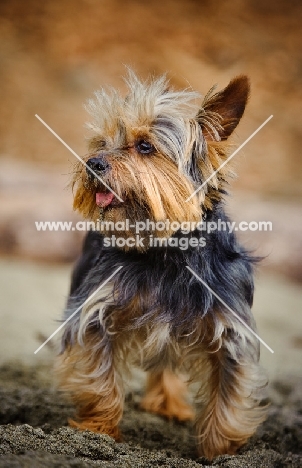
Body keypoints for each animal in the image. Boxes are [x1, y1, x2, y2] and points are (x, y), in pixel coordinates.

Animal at [56, 72, 266, 460]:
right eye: (102, 142)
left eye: (144, 146)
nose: (93, 163)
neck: (165, 252)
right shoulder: (96, 312)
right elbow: (100, 378)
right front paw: (97, 431)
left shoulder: (229, 331)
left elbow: (228, 397)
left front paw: (220, 452)